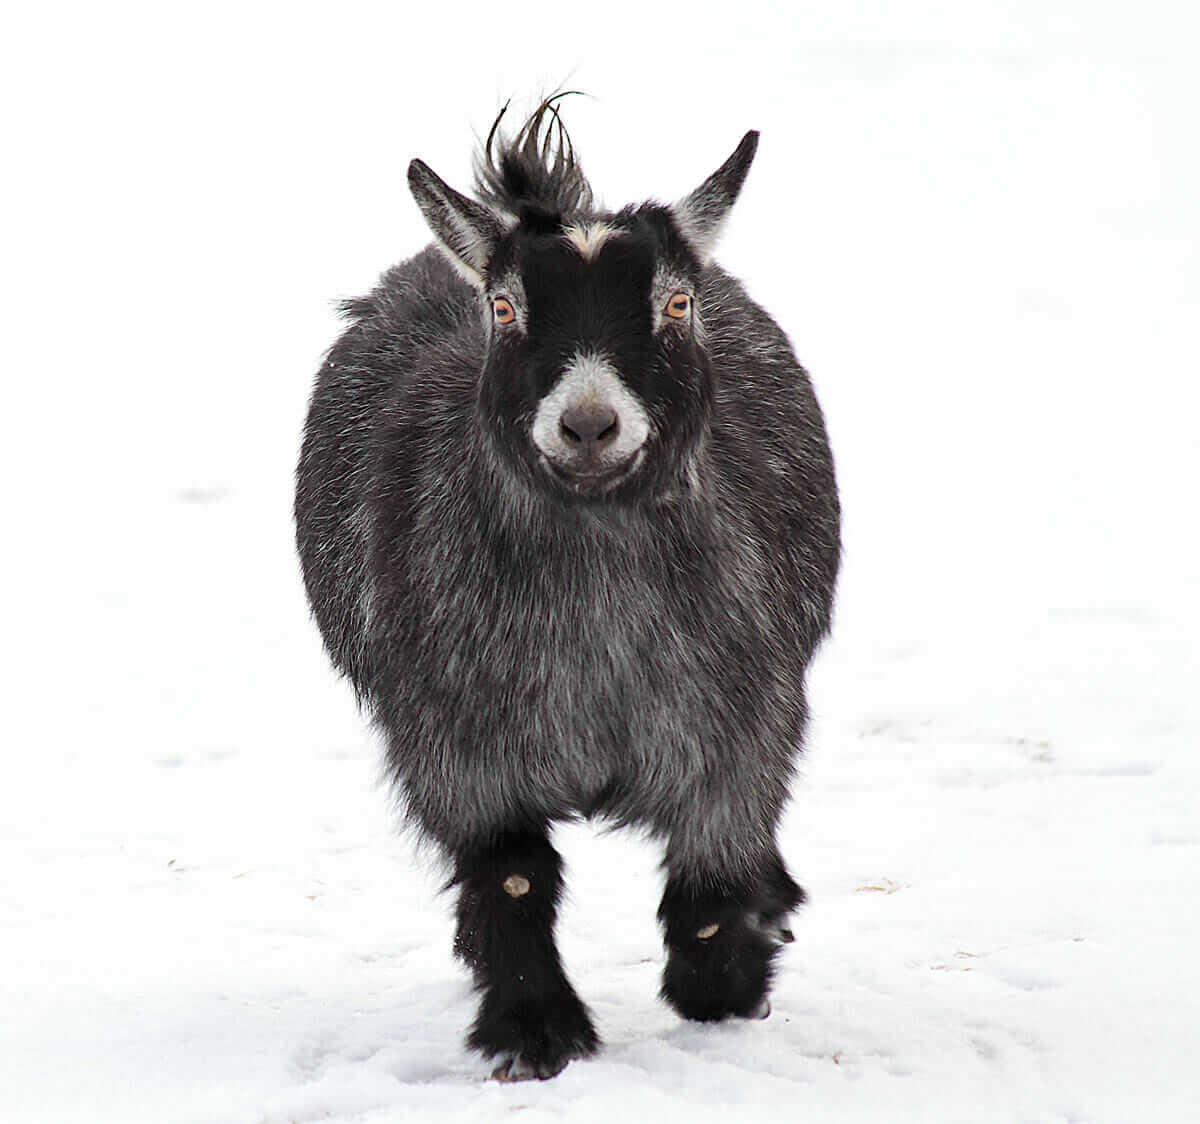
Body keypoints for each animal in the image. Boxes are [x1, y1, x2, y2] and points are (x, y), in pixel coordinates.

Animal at [294, 100, 840, 1084]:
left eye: (676, 302)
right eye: (505, 306)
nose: (589, 423)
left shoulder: (741, 725)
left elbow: (715, 875)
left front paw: (726, 982)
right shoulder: (459, 743)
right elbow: (511, 876)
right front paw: (533, 1032)